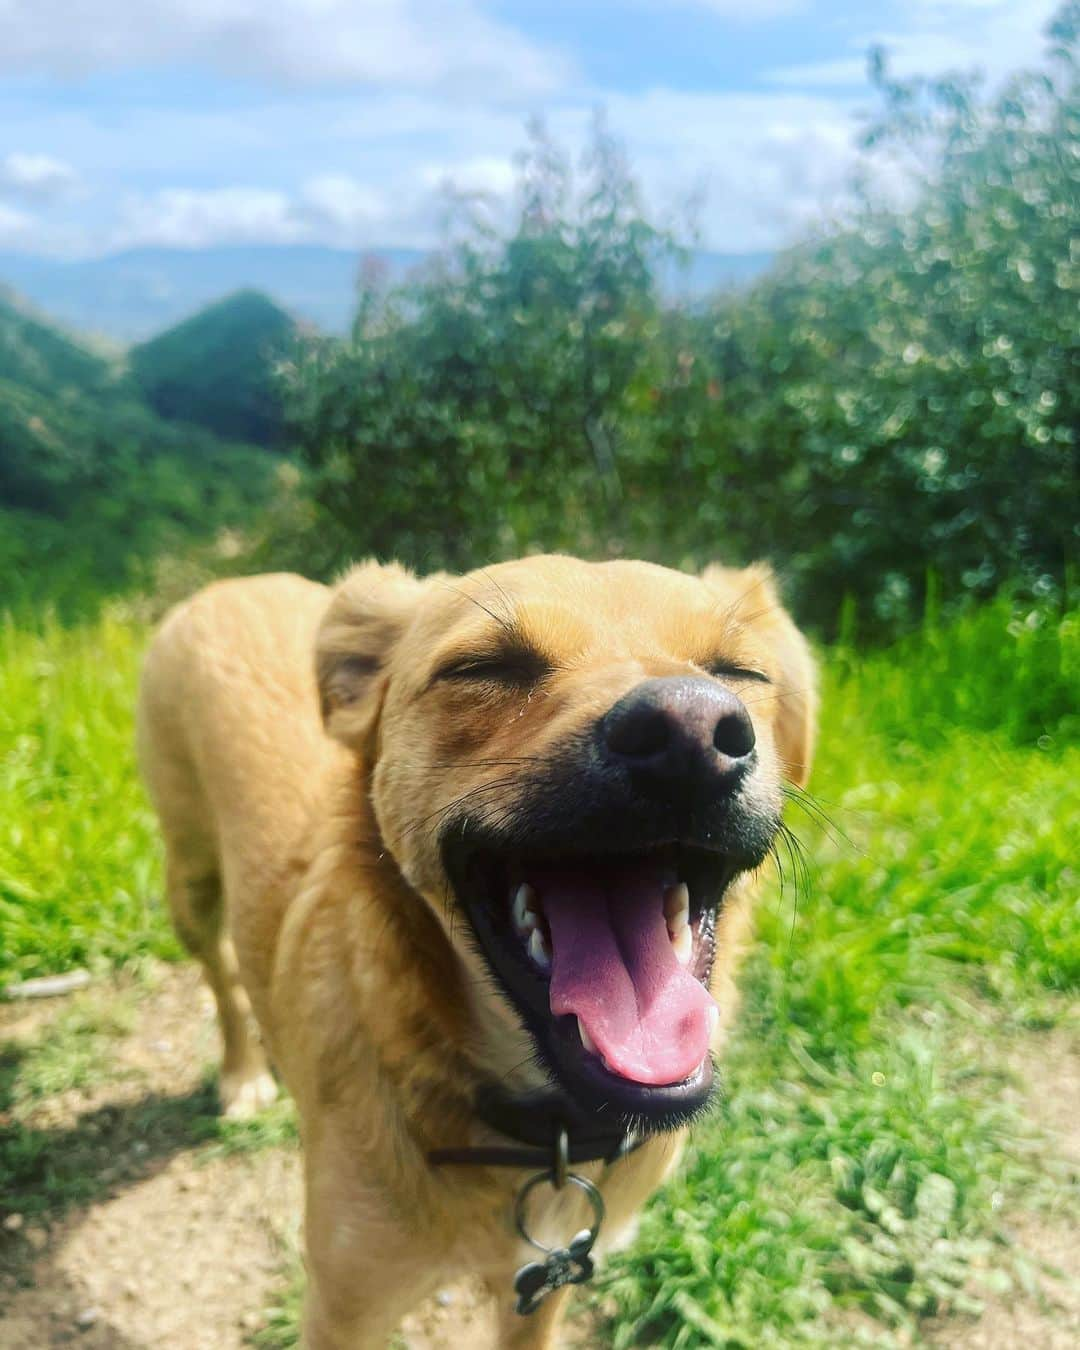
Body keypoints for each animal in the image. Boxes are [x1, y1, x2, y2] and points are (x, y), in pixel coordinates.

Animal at [137, 553, 810, 1344]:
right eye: (484, 666)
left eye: (741, 671)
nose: (690, 733)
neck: (541, 1131)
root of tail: (236, 582)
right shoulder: (344, 1307)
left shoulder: (547, 1289)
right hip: (191, 883)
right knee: (221, 976)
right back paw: (243, 1072)